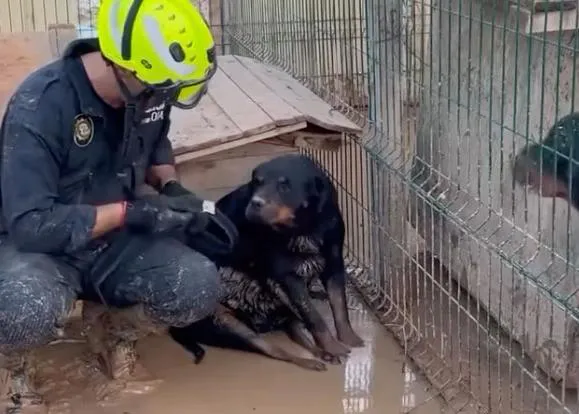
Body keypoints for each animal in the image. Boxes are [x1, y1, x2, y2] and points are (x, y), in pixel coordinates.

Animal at [170, 154, 364, 370]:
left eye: (284, 186)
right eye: (257, 182)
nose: (256, 203)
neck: (304, 227)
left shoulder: (334, 263)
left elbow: (339, 305)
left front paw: (348, 338)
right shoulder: (288, 277)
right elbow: (314, 317)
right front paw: (333, 347)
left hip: (283, 309)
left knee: (297, 331)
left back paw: (321, 352)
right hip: (227, 322)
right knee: (277, 351)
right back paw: (310, 361)